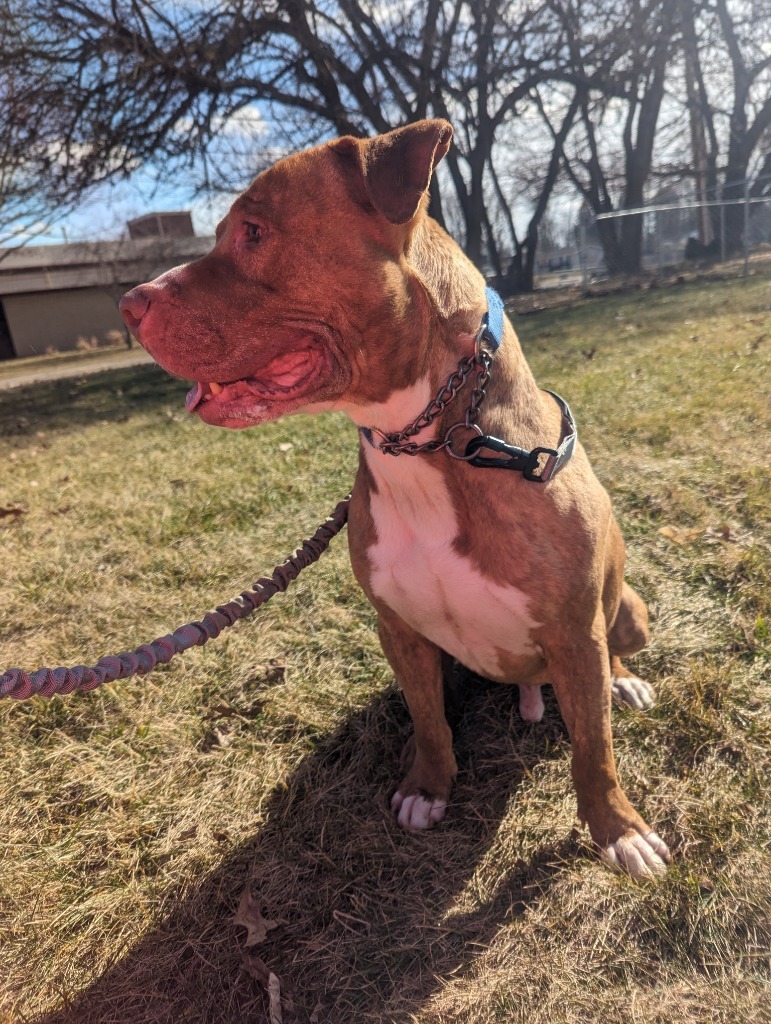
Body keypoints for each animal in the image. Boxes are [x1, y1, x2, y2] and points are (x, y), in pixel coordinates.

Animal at [120, 117, 667, 872]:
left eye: (253, 232)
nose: (127, 304)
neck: (425, 440)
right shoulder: (399, 629)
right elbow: (430, 722)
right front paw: (426, 789)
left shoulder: (573, 630)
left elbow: (594, 747)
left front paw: (618, 830)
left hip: (625, 612)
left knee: (613, 654)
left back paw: (625, 682)